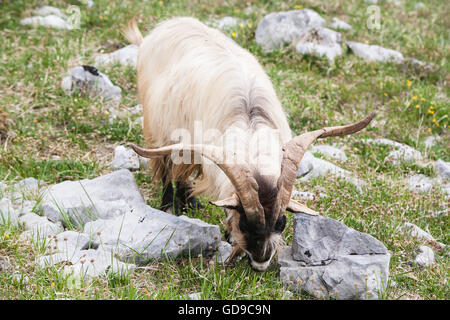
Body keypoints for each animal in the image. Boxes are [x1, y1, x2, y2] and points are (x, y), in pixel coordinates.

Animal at [124, 17, 376, 272]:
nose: (261, 262)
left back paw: (191, 203)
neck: (250, 129)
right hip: (158, 127)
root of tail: (167, 26)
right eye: (245, 224)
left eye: (282, 222)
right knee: (166, 167)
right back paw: (169, 206)